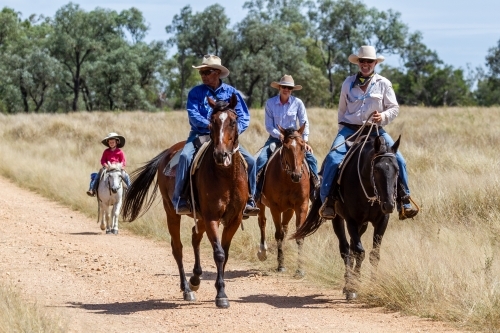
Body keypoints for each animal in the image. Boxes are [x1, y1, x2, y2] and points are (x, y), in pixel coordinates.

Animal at [121, 93, 246, 306]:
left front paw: (218, 289)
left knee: (195, 238)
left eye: (233, 121)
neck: (225, 176)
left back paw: (195, 278)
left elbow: (225, 253)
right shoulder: (211, 217)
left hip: (200, 217)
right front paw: (221, 294)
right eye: (212, 122)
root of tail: (167, 153)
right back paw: (187, 288)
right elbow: (219, 253)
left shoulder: (234, 219)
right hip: (172, 212)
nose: (221, 155)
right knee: (177, 248)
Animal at [258, 123, 308, 276]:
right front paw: (281, 265)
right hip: (260, 204)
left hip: (289, 210)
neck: (288, 180)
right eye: (286, 147)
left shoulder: (301, 206)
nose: (297, 176)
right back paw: (262, 252)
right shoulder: (274, 207)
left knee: (285, 227)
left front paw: (300, 269)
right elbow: (278, 234)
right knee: (262, 222)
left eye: (302, 146)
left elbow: (299, 235)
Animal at [292, 134, 400, 298]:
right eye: (376, 169)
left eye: (397, 169)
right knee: (345, 249)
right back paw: (348, 283)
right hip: (337, 219)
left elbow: (374, 254)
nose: (388, 205)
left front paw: (372, 288)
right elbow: (359, 252)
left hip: (363, 224)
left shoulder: (382, 221)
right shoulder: (351, 220)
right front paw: (352, 288)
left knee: (352, 248)